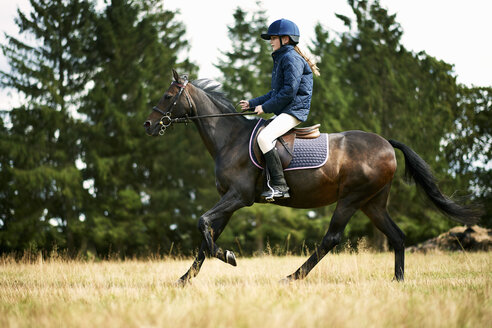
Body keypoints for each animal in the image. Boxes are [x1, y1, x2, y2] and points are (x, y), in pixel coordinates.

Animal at [143, 70, 480, 284]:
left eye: (168, 95)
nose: (147, 125)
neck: (230, 138)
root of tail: (386, 142)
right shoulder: (227, 200)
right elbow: (206, 236)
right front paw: (185, 279)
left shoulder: (239, 197)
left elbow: (203, 224)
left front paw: (229, 256)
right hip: (373, 203)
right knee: (396, 236)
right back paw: (398, 281)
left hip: (351, 199)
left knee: (331, 238)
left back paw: (293, 276)